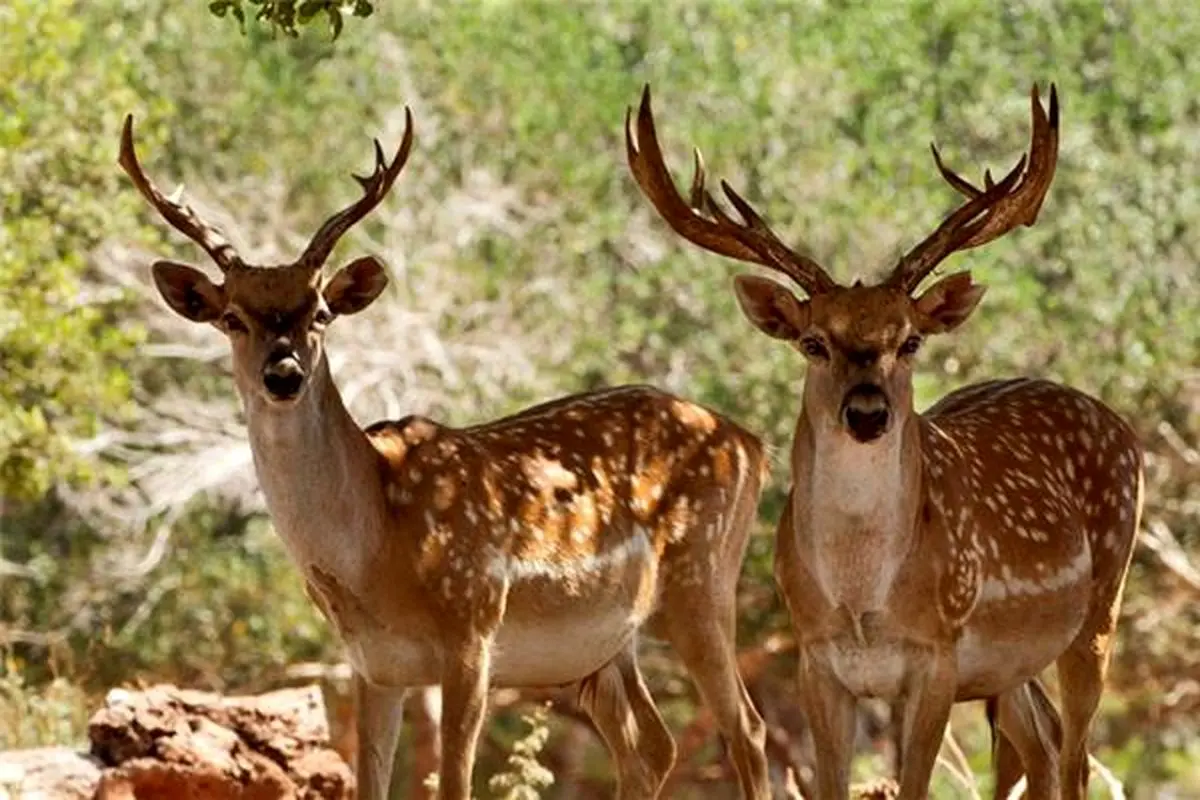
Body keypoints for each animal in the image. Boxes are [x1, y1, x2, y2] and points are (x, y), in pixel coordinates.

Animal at [117, 107, 772, 800]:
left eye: (320, 311)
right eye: (233, 318)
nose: (284, 373)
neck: (376, 553)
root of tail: (752, 443)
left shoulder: (473, 628)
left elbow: (454, 781)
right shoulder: (371, 664)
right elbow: (370, 782)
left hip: (704, 579)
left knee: (746, 729)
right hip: (606, 643)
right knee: (652, 744)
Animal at [628, 82, 1142, 800]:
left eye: (911, 339)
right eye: (813, 341)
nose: (867, 412)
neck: (861, 600)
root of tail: (1118, 424)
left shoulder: (938, 653)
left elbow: (917, 783)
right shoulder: (816, 659)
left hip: (1102, 604)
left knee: (1075, 756)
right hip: (1012, 664)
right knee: (1040, 746)